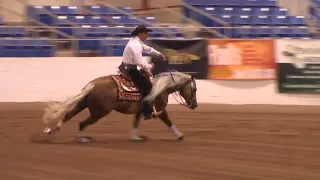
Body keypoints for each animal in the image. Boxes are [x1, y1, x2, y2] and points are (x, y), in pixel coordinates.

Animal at [42, 68, 198, 143]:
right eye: (194, 89)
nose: (195, 105)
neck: (161, 87)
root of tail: (93, 84)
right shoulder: (160, 109)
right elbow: (169, 121)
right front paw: (180, 135)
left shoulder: (140, 111)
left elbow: (135, 123)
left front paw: (136, 137)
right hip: (99, 112)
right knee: (82, 123)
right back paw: (82, 139)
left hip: (83, 104)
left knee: (68, 115)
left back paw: (51, 131)